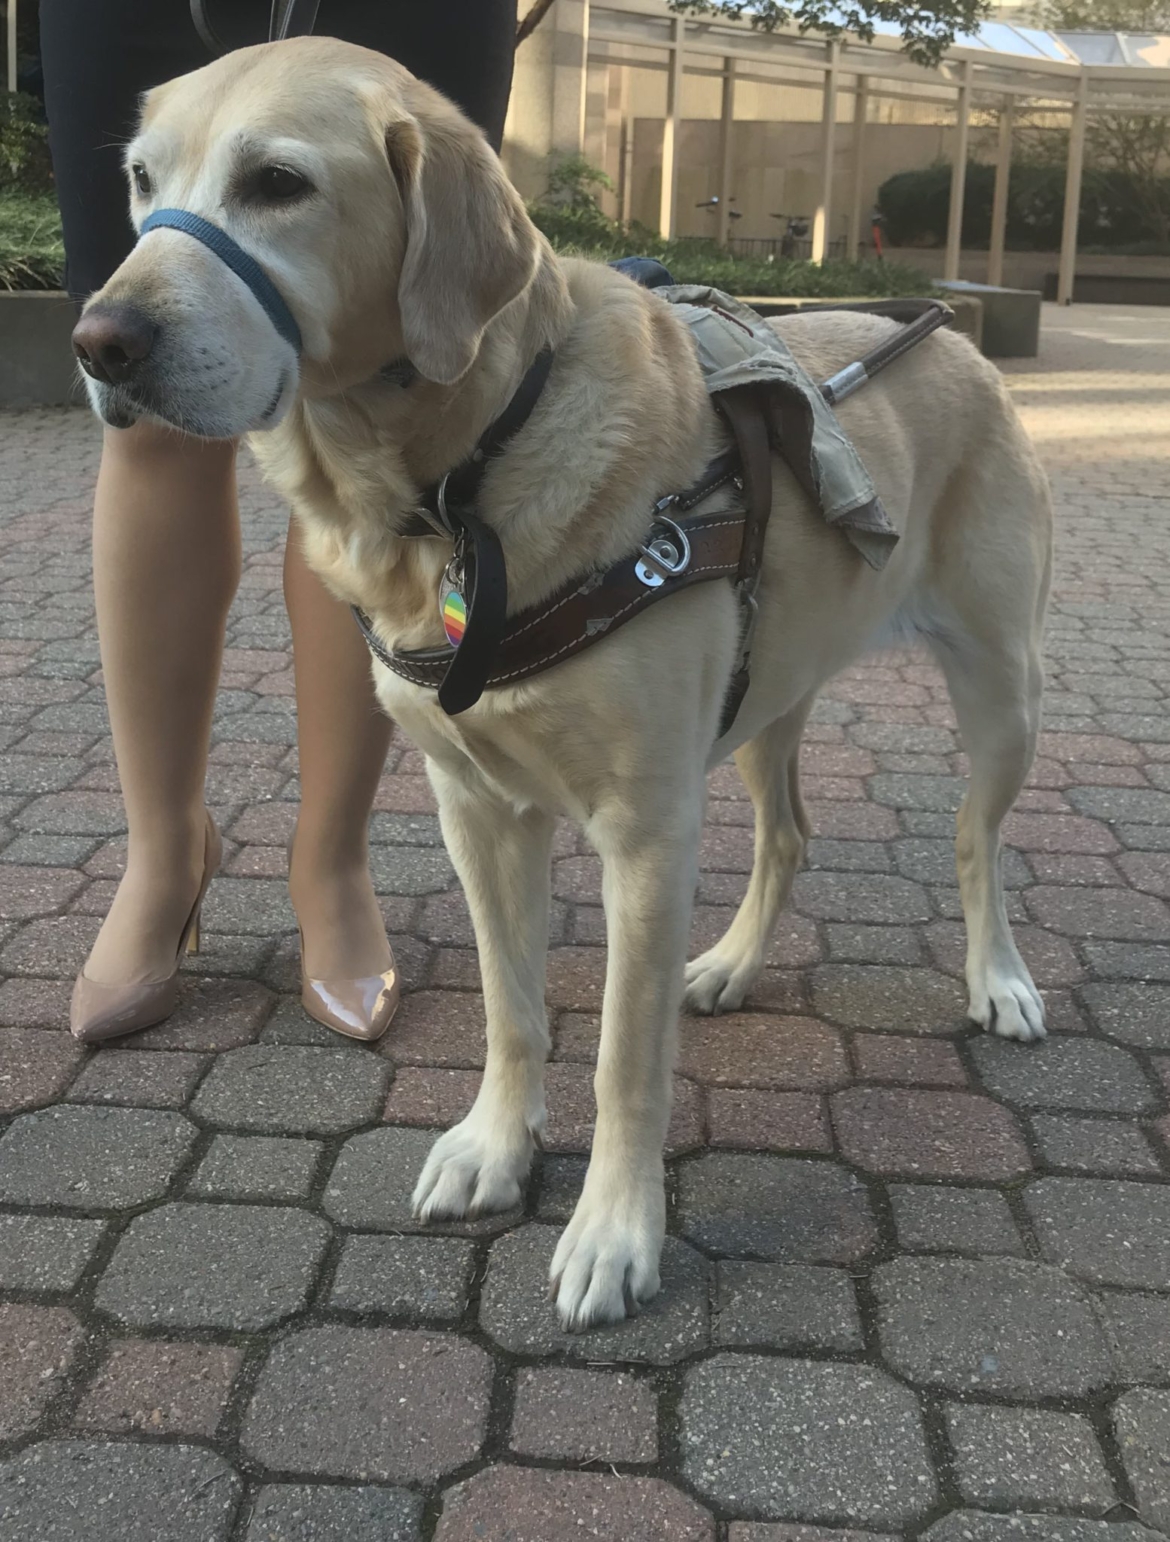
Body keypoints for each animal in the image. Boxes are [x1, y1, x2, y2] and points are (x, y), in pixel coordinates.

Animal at [77, 42, 1054, 1332]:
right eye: (142, 181)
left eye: (277, 183)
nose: (99, 341)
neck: (454, 482)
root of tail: (951, 332)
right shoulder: (477, 810)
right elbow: (513, 1006)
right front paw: (497, 1147)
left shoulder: (645, 832)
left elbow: (623, 1059)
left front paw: (614, 1233)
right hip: (770, 692)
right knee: (788, 835)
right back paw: (731, 965)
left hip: (1001, 691)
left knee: (974, 838)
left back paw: (999, 980)